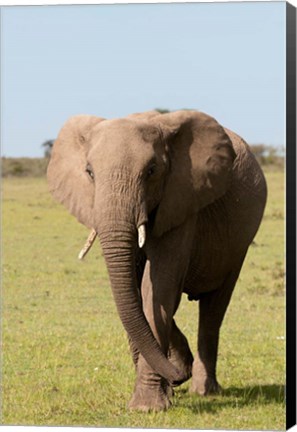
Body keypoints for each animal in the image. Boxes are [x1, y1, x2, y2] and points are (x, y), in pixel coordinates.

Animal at [48, 109, 266, 412]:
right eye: (89, 172)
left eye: (151, 171)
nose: (176, 377)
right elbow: (139, 294)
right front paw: (169, 386)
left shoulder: (182, 199)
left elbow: (158, 288)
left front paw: (147, 406)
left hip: (238, 244)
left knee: (214, 308)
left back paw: (204, 390)